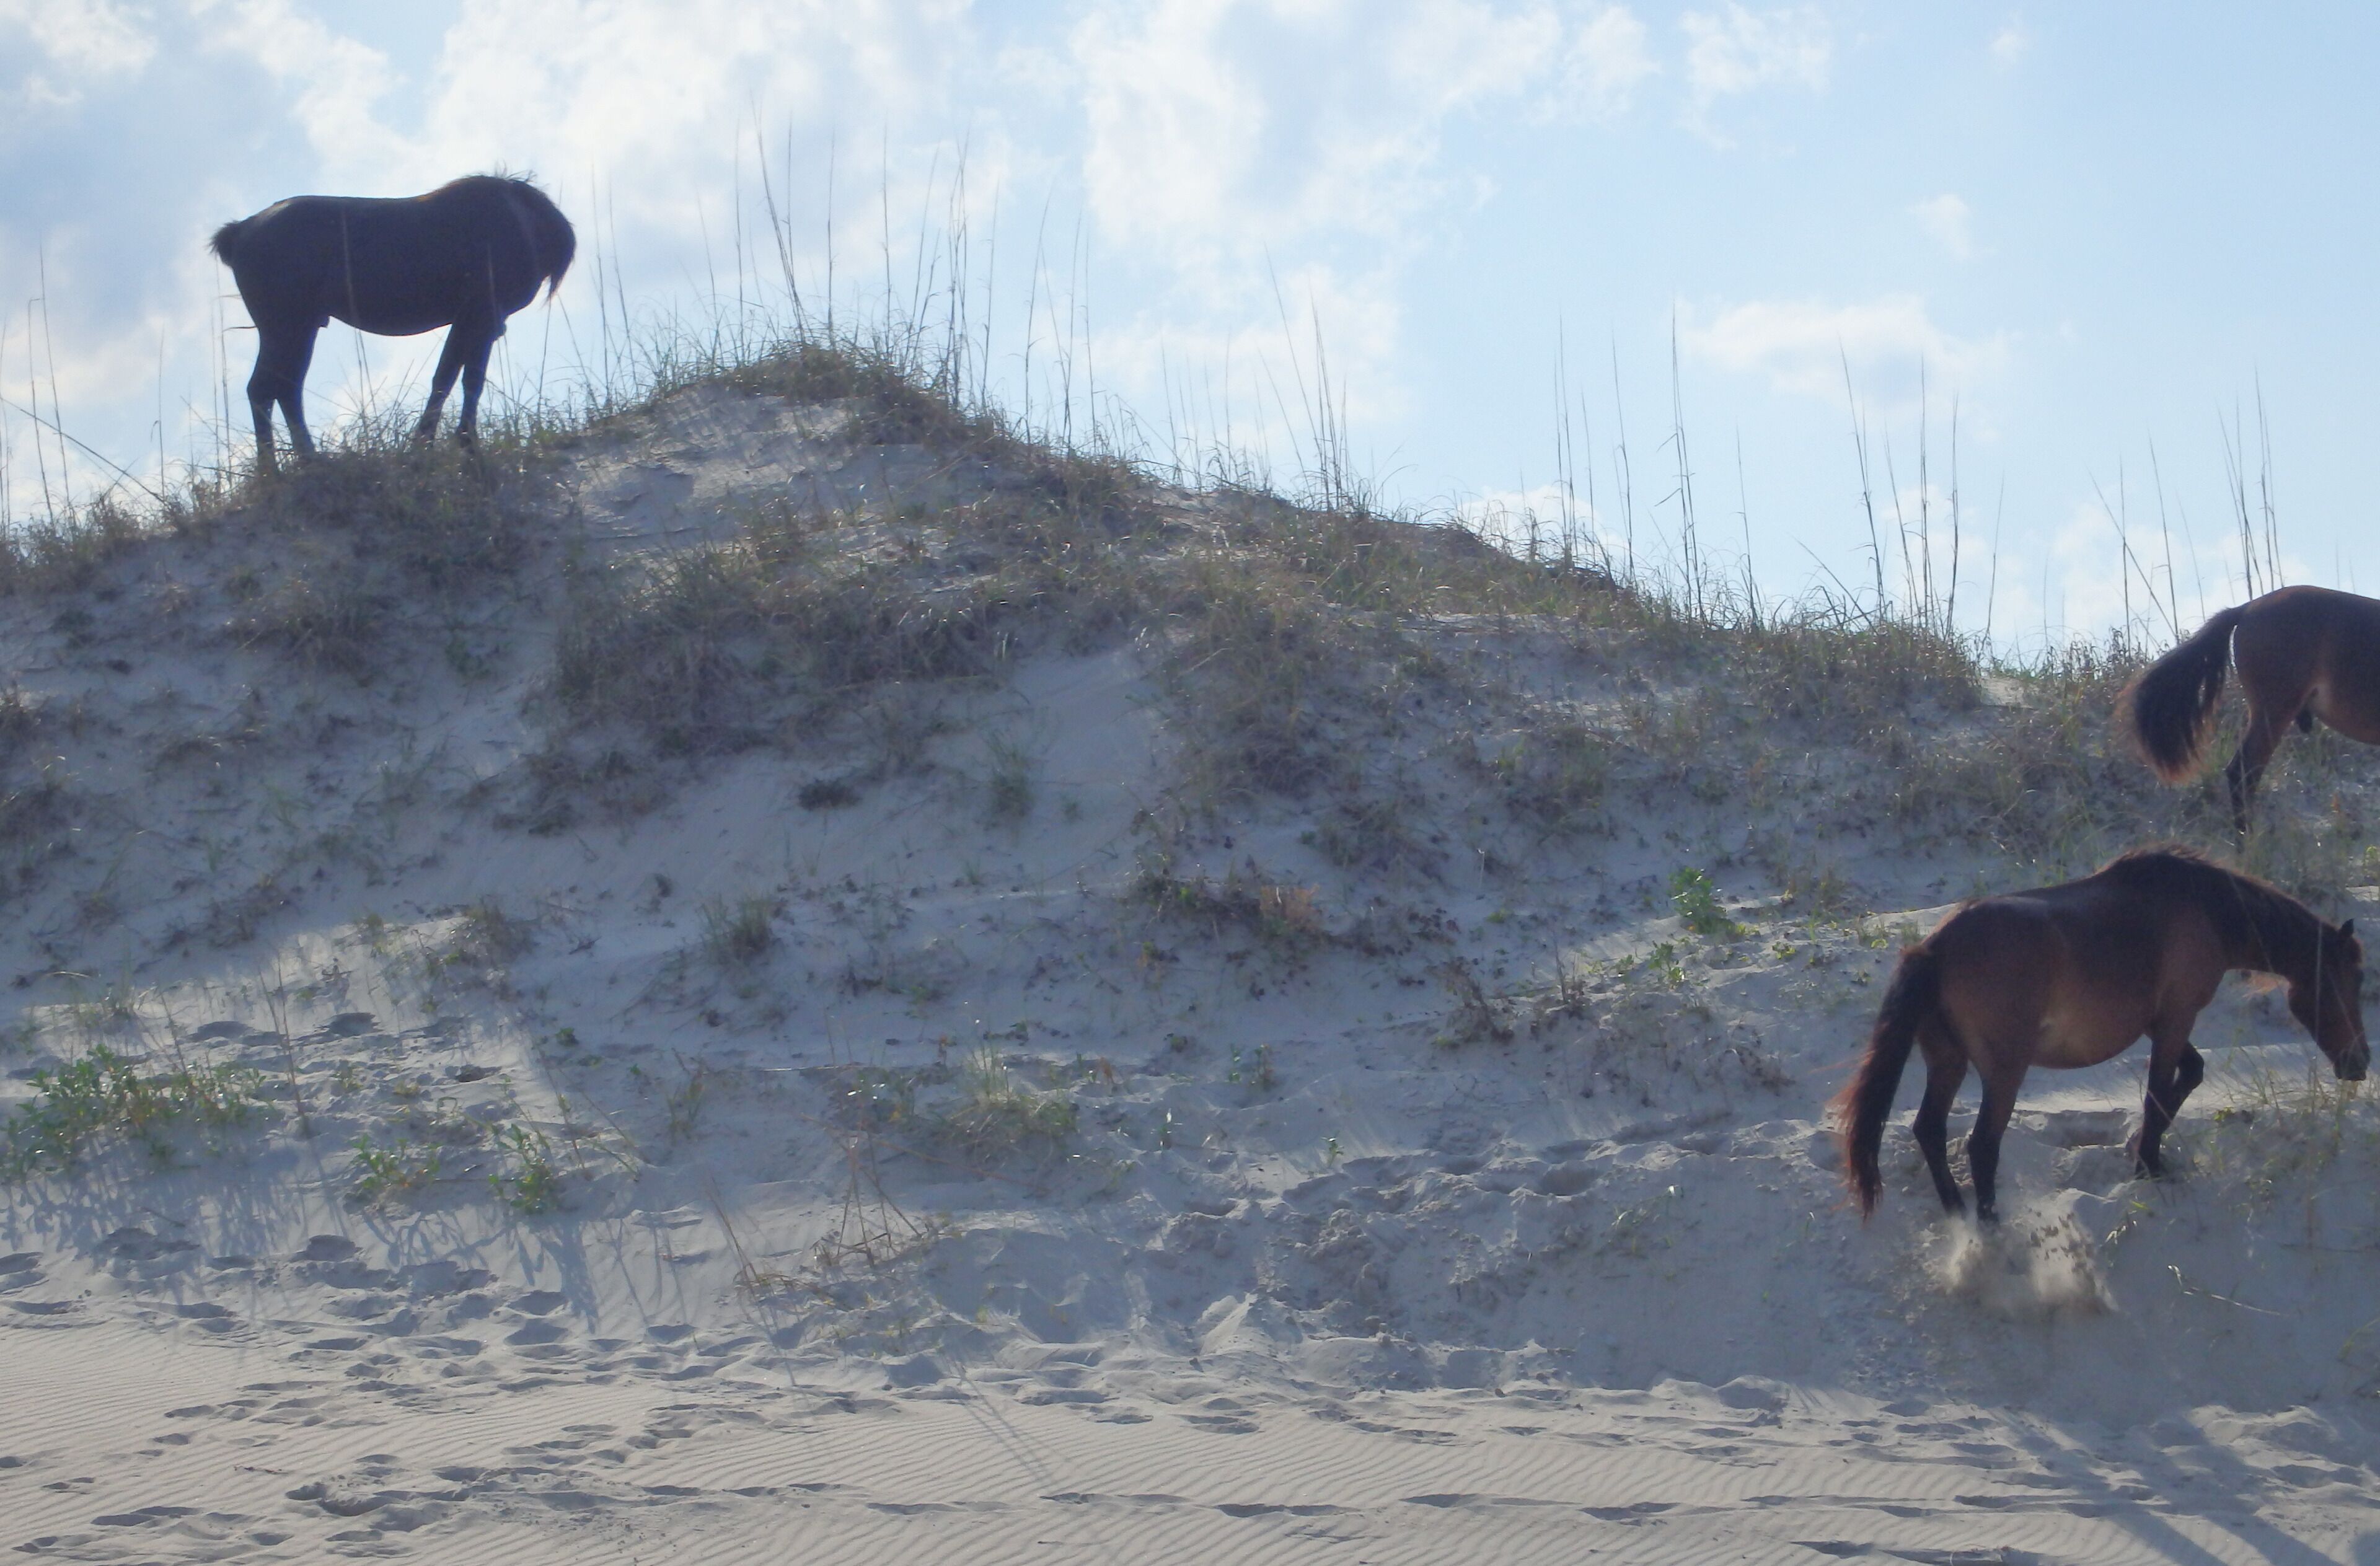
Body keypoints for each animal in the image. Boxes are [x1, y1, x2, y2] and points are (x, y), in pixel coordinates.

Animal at [210, 175, 575, 473]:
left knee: (282, 389)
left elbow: (445, 378)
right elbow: (467, 381)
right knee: (268, 389)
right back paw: (277, 470)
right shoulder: (483, 317)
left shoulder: (471, 322)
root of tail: (240, 231)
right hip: (287, 329)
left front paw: (425, 445)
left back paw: (302, 462)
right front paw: (463, 444)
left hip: (300, 329)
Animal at [1834, 847, 2366, 1223]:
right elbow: (2159, 1092)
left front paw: (2144, 1151)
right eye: (2354, 980)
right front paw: (2149, 1163)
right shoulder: (2176, 1020)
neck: (2205, 907)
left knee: (1930, 1130)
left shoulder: (2161, 1024)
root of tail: (1934, 948)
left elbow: (2188, 1076)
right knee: (1982, 1145)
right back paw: (1991, 1226)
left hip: (1948, 1061)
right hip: (2003, 1072)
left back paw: (1958, 1216)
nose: (2359, 1062)